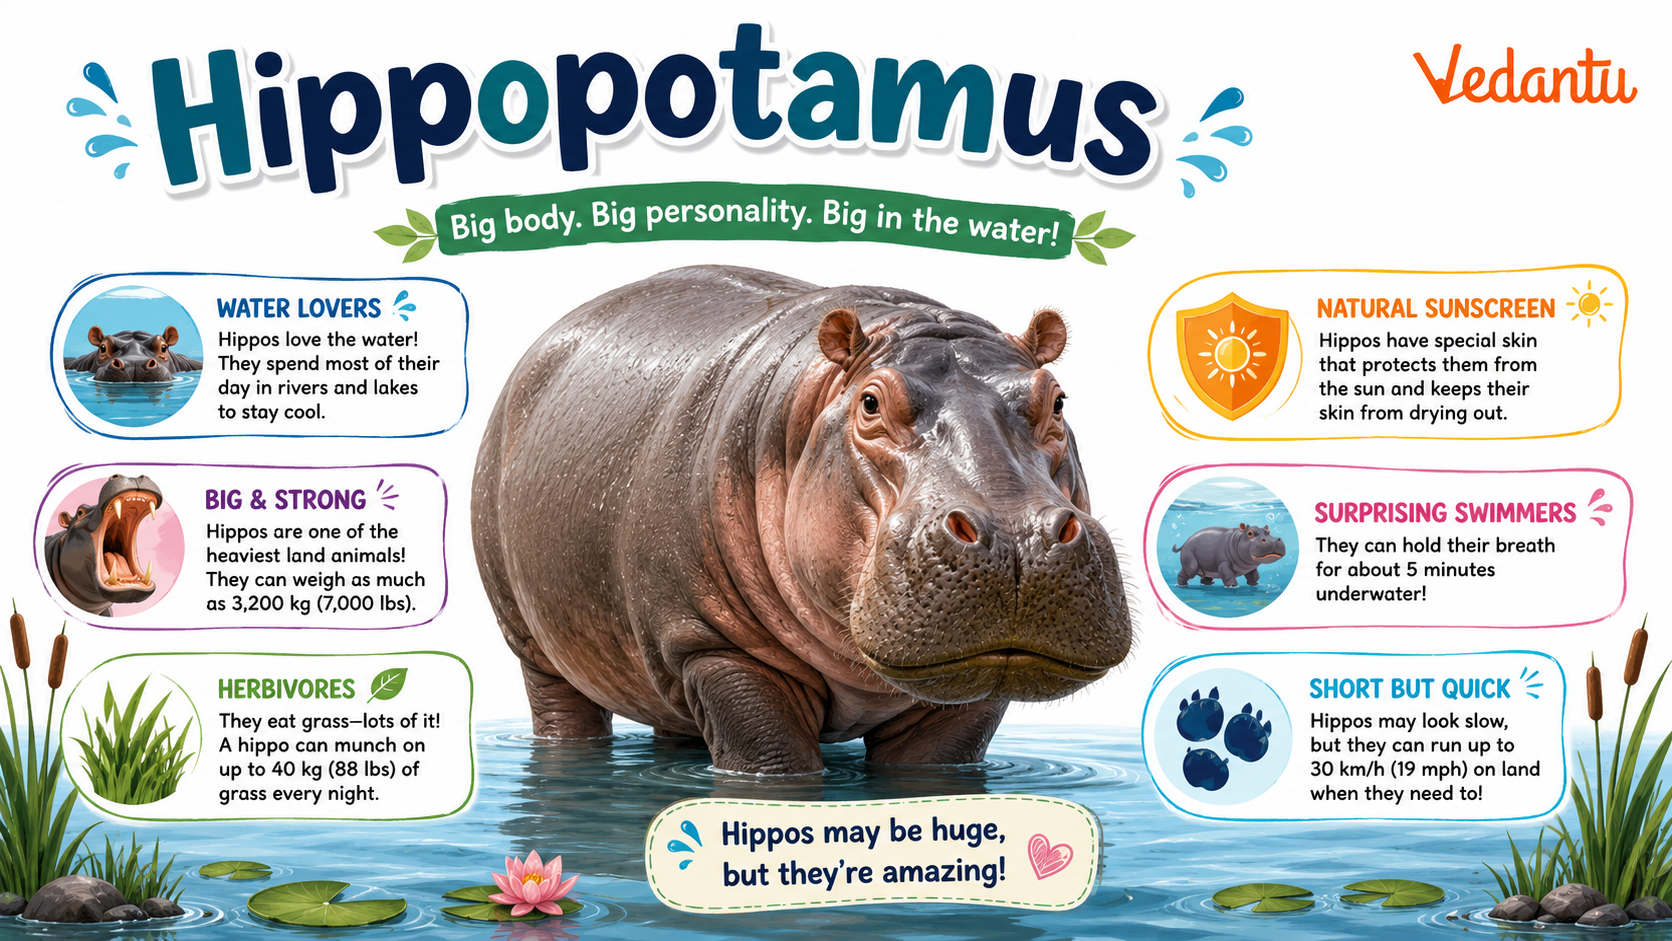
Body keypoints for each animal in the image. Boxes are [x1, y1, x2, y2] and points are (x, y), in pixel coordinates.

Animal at [473, 266, 1131, 774]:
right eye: (870, 402)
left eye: (1057, 400)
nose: (1016, 539)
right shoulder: (715, 650)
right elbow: (772, 760)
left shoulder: (964, 698)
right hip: (532, 642)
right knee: (560, 706)